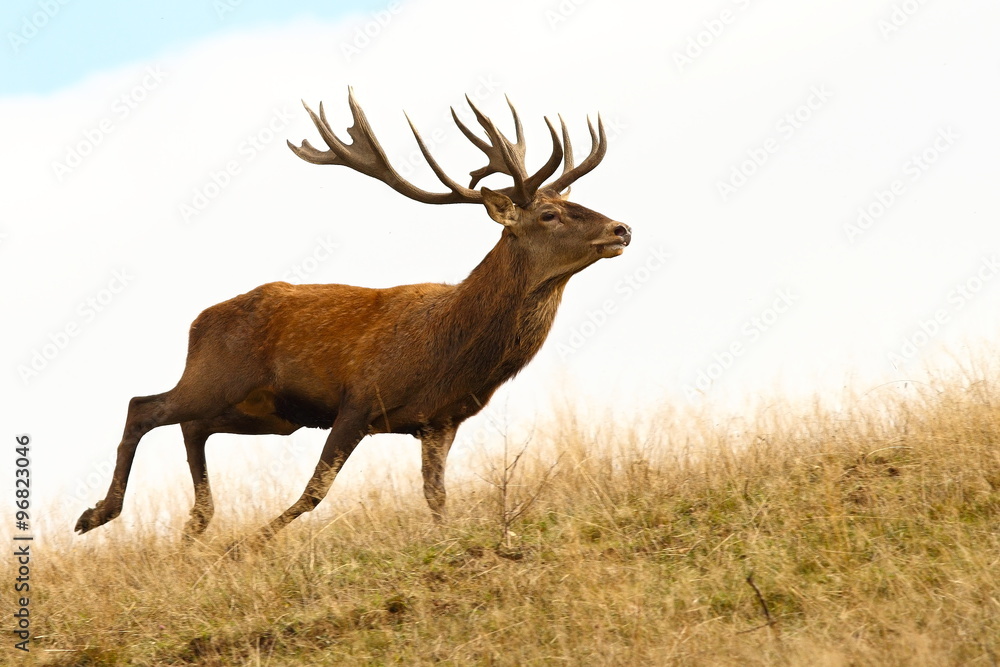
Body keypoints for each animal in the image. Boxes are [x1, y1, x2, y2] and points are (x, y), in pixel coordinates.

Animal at [74, 89, 631, 546]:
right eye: (549, 215)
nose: (621, 228)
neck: (449, 354)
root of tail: (197, 321)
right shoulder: (361, 398)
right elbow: (316, 488)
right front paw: (249, 544)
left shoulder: (440, 420)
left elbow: (436, 496)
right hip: (218, 376)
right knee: (143, 406)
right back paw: (98, 515)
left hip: (268, 413)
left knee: (192, 426)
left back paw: (195, 524)